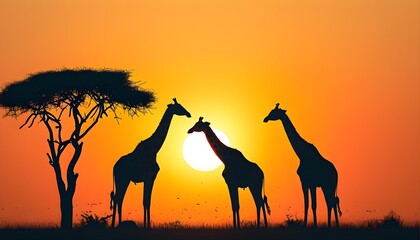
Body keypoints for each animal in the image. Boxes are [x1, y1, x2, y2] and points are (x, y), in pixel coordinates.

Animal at [110, 98, 191, 228]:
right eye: (179, 107)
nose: (189, 114)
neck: (154, 149)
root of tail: (114, 167)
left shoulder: (150, 178)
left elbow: (147, 201)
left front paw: (146, 225)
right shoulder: (150, 177)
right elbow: (146, 202)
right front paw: (147, 226)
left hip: (123, 180)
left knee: (118, 198)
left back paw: (118, 224)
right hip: (122, 178)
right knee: (118, 198)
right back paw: (115, 225)